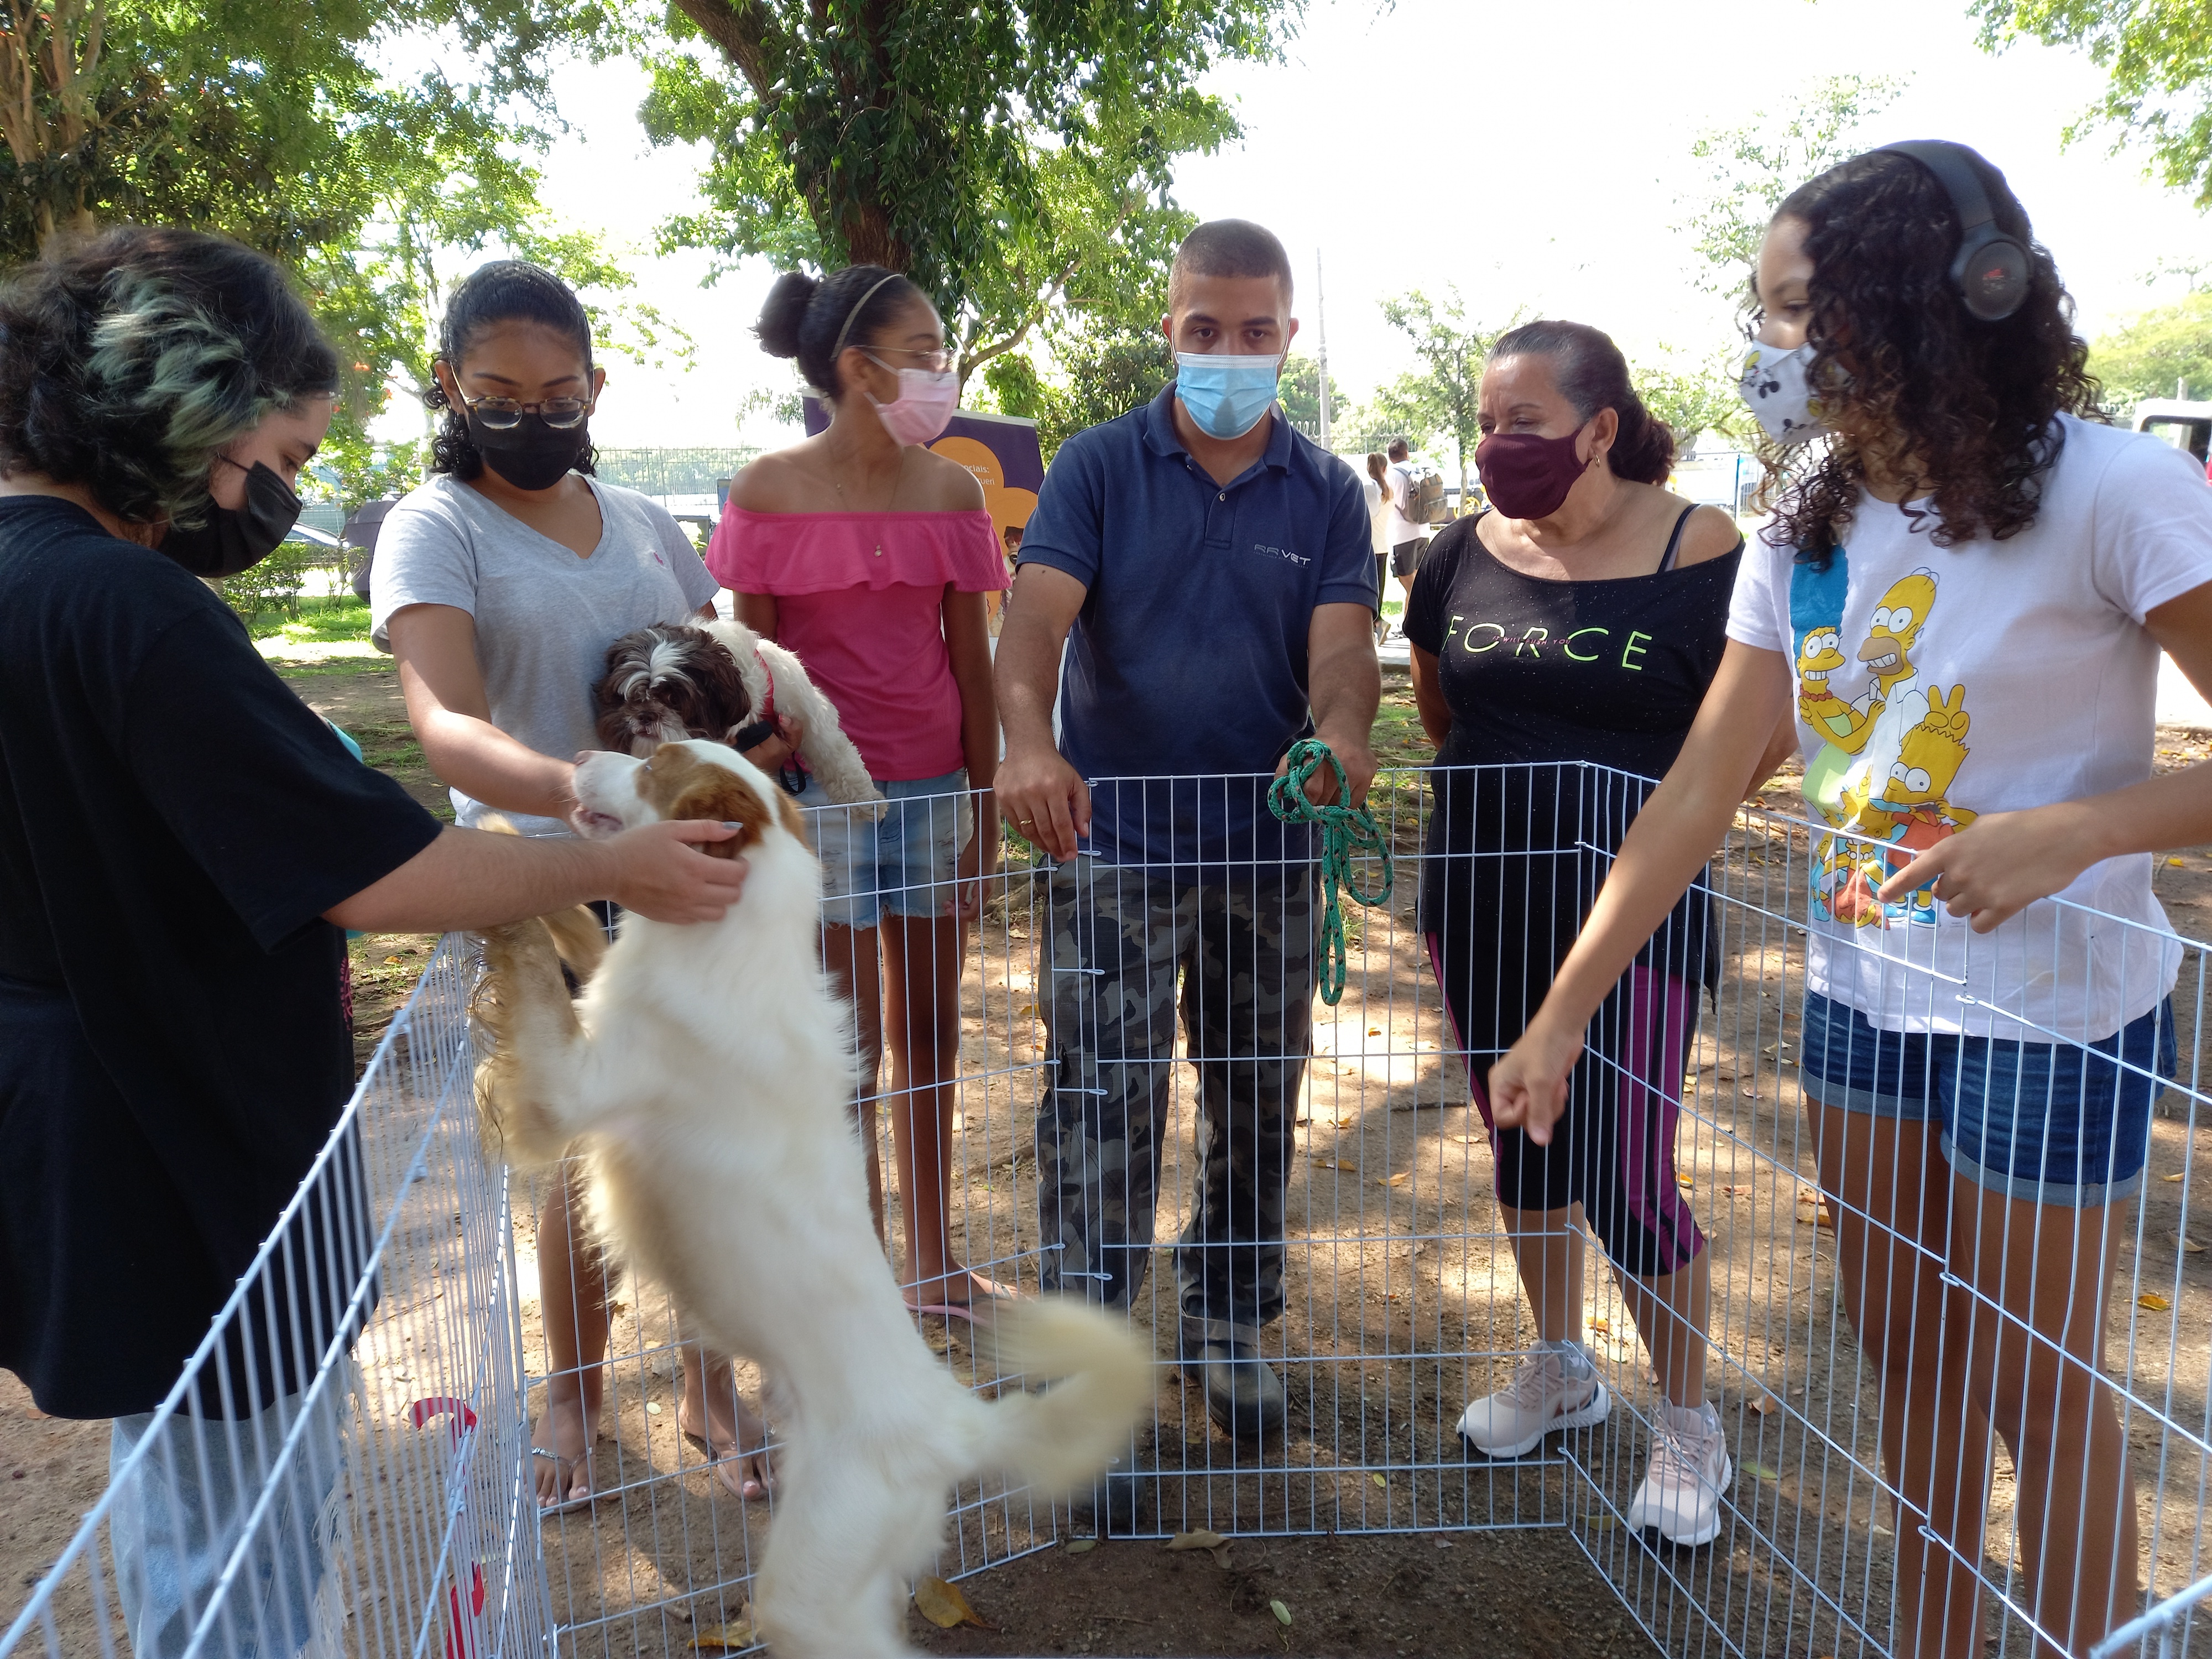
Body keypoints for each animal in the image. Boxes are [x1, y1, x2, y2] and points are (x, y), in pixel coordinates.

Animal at [473, 748, 1150, 1655]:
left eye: (653, 761)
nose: (578, 758)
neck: (734, 944)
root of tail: (956, 1423)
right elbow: (579, 930)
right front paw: (513, 850)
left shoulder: (564, 1095)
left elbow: (533, 974)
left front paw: (493, 875)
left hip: (808, 1591)